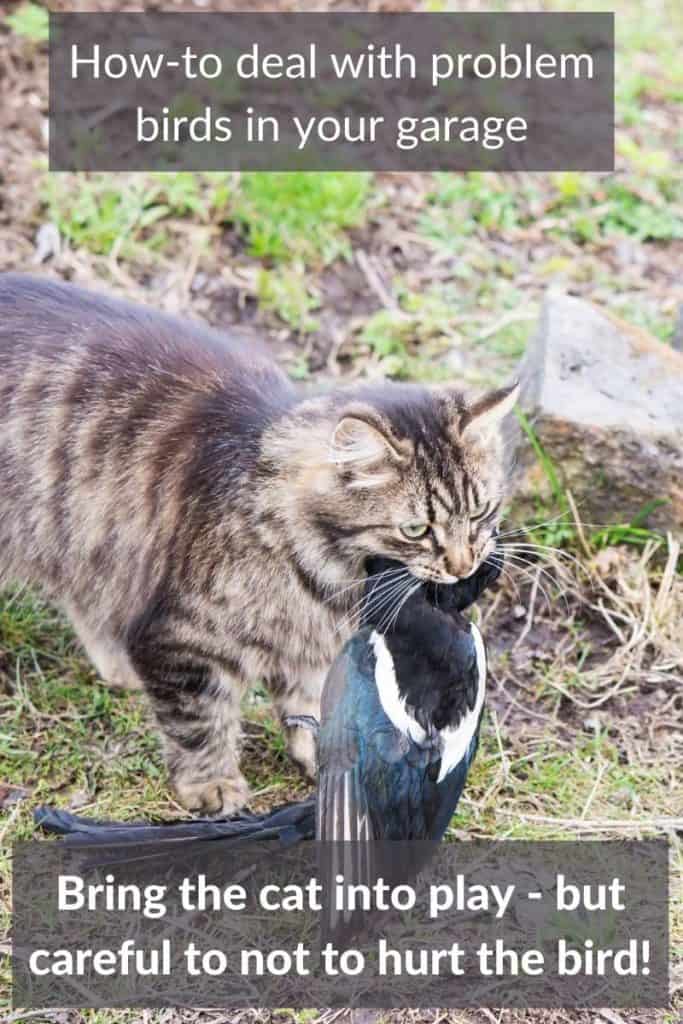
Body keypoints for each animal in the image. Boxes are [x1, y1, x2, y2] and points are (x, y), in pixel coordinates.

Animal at [0, 274, 518, 815]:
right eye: (416, 530)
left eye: (480, 513)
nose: (463, 566)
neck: (330, 573)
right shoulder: (181, 640)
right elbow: (198, 724)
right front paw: (211, 785)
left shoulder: (310, 646)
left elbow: (316, 705)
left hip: (89, 536)